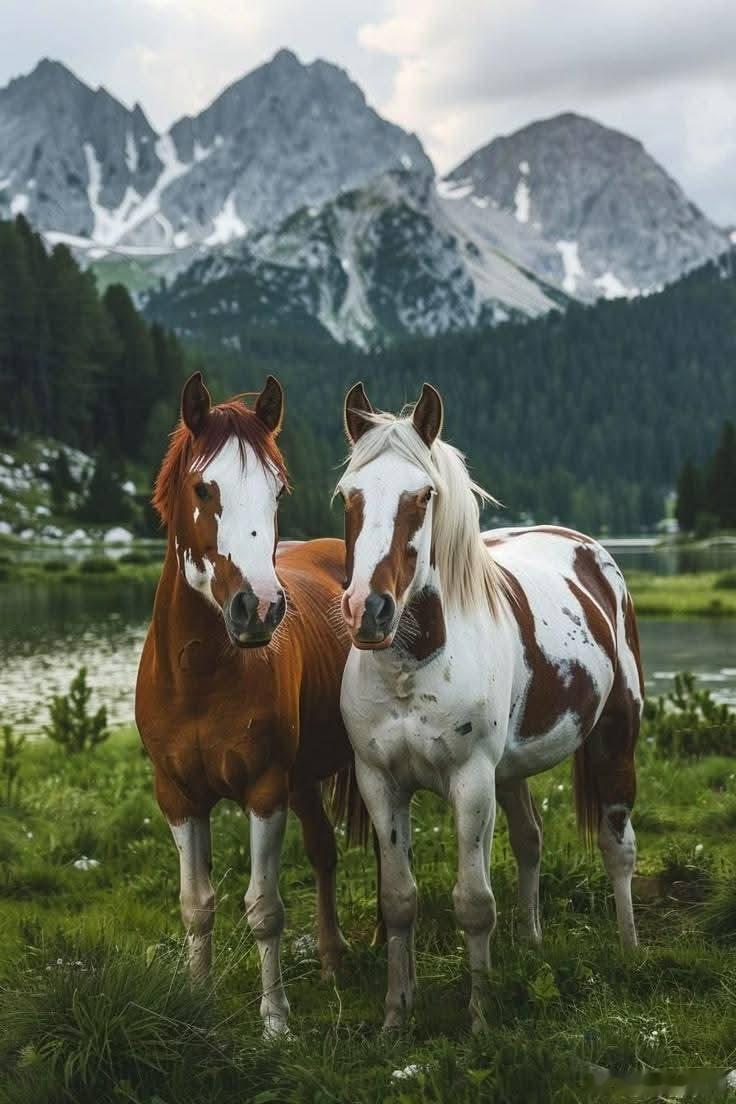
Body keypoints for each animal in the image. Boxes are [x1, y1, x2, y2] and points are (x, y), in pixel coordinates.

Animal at [135, 372, 366, 1037]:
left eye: (278, 491)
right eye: (202, 487)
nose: (258, 609)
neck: (198, 678)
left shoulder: (265, 790)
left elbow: (264, 909)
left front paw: (276, 1022)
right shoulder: (178, 798)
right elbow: (197, 906)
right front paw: (198, 1003)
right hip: (304, 778)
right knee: (322, 851)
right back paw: (332, 957)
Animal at [333, 381, 643, 1033]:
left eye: (423, 495)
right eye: (350, 494)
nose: (368, 610)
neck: (412, 668)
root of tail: (588, 549)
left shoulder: (471, 781)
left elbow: (473, 903)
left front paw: (479, 1016)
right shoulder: (381, 783)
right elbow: (398, 900)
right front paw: (396, 1014)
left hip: (616, 738)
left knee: (617, 846)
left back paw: (630, 950)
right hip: (513, 771)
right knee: (531, 841)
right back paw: (532, 942)